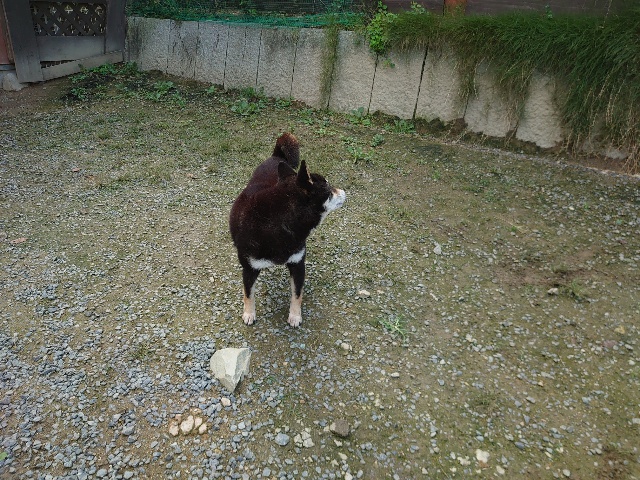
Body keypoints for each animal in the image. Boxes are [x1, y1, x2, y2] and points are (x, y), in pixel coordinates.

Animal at [229, 133, 346, 327]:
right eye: (329, 191)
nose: (344, 192)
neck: (279, 221)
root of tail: (277, 157)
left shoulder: (298, 263)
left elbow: (297, 294)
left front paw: (295, 315)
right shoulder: (249, 268)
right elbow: (248, 294)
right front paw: (249, 313)